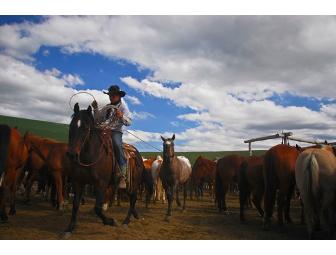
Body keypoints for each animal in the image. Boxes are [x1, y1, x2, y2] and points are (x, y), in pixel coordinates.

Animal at [63, 103, 147, 237]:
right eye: (71, 125)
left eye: (86, 128)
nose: (72, 155)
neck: (89, 156)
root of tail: (137, 154)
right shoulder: (78, 182)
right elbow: (75, 204)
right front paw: (69, 228)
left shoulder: (101, 184)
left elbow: (97, 208)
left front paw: (111, 221)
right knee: (132, 200)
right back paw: (135, 215)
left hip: (133, 183)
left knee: (133, 198)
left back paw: (126, 221)